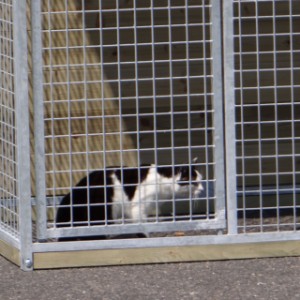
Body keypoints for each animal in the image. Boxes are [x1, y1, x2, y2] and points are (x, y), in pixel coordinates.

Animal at [55, 162, 203, 234]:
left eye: (201, 180)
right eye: (194, 183)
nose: (202, 189)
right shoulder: (137, 208)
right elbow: (141, 226)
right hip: (101, 211)